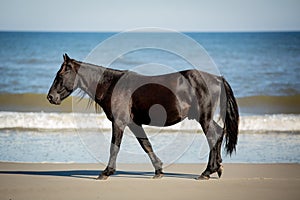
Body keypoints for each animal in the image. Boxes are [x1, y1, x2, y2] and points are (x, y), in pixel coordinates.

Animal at [47, 54, 239, 180]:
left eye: (60, 75)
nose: (50, 97)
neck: (113, 85)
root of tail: (217, 78)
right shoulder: (134, 124)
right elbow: (146, 145)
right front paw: (159, 170)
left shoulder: (119, 123)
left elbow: (114, 147)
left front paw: (106, 172)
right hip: (205, 118)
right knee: (219, 133)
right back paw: (217, 168)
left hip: (204, 118)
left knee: (213, 136)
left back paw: (207, 171)